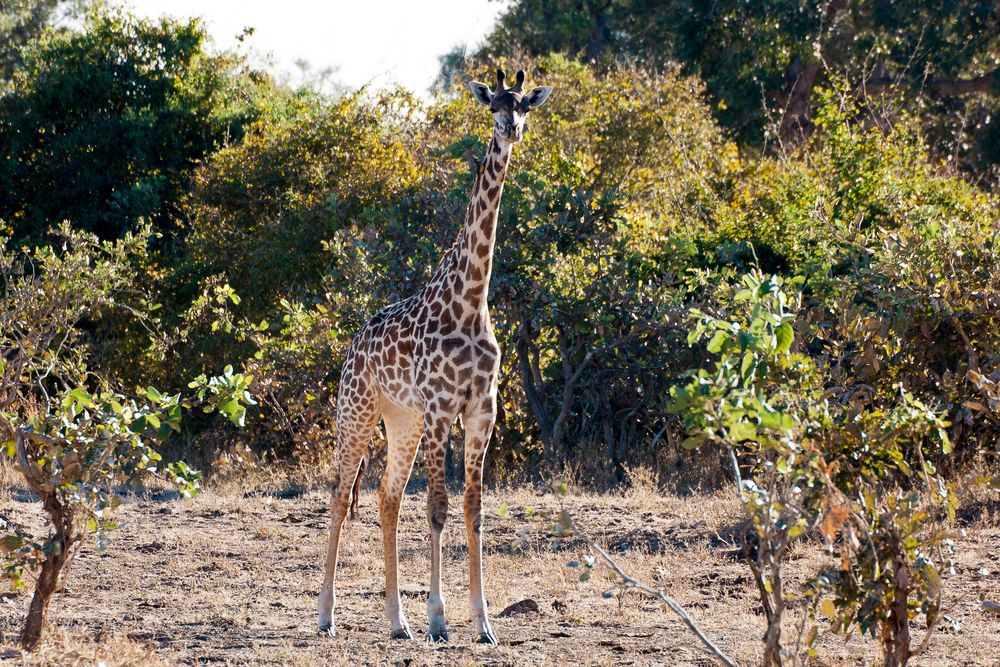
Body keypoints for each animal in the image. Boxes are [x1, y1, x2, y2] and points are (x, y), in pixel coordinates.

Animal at [318, 69, 556, 648]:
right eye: (493, 105)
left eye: (525, 106)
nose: (511, 129)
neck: (470, 300)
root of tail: (351, 347)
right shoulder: (442, 407)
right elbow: (438, 509)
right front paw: (439, 619)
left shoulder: (481, 410)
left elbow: (473, 510)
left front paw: (484, 623)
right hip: (357, 412)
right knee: (339, 493)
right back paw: (327, 615)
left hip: (401, 420)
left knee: (386, 497)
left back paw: (396, 622)